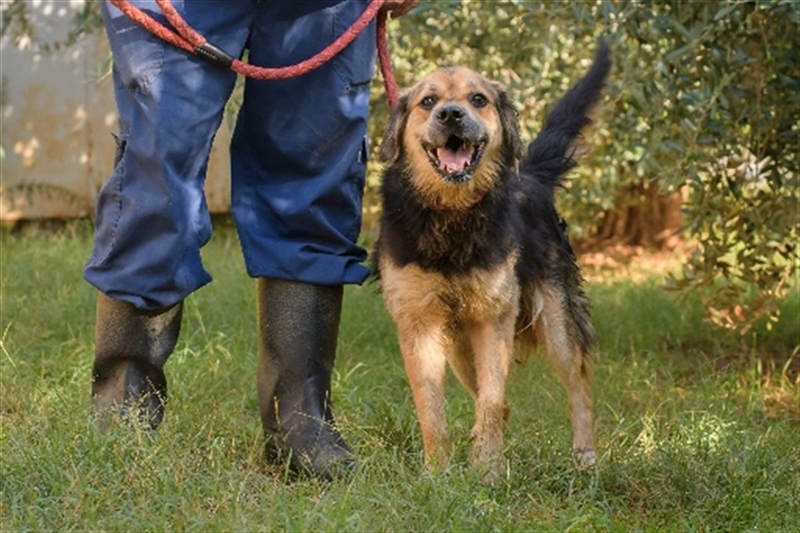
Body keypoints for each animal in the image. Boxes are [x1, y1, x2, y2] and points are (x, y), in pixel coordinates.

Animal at [372, 42, 611, 481]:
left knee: (578, 386)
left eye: (478, 99)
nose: (450, 114)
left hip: (557, 323)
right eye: (428, 101)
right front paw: (437, 475)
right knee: (504, 405)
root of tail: (531, 179)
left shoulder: (493, 316)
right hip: (458, 348)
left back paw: (585, 456)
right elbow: (431, 406)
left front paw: (488, 472)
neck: (453, 215)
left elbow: (491, 399)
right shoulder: (419, 322)